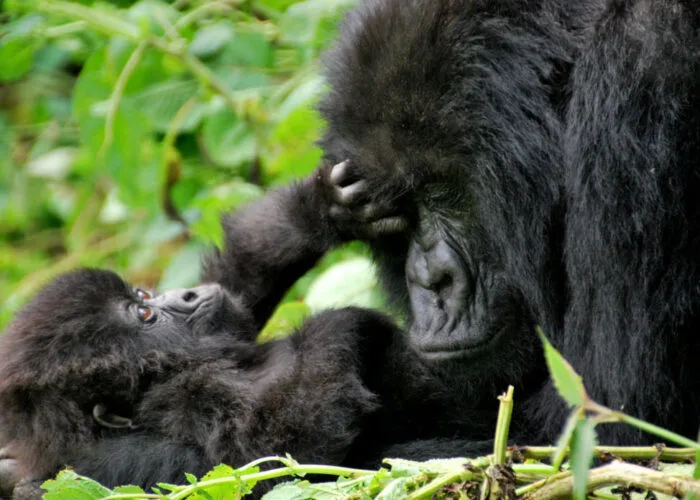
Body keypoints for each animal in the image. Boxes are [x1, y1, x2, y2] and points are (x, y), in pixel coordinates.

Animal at [0, 268, 402, 494]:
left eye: (143, 295)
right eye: (144, 313)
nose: (188, 292)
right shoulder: (188, 406)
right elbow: (279, 461)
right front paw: (342, 323)